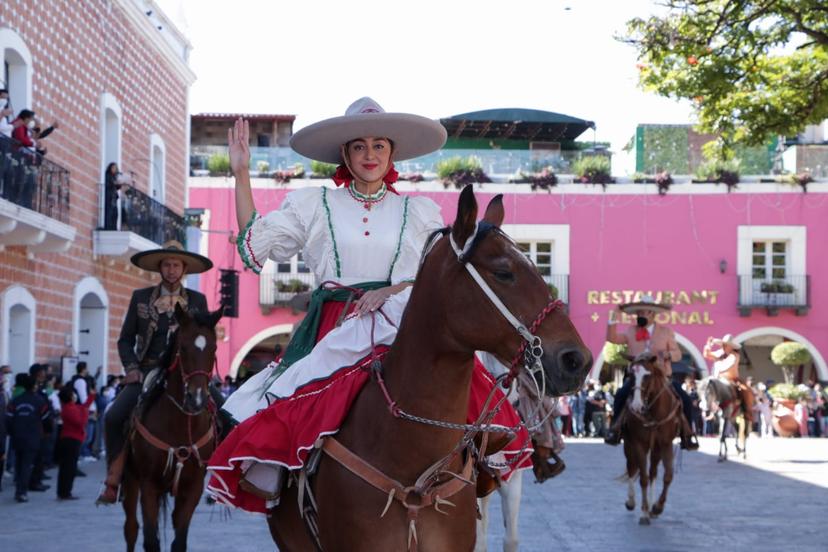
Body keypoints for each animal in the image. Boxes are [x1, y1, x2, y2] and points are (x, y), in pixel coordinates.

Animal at [122, 306, 220, 552]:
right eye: (182, 347)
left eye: (214, 348)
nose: (197, 399)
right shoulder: (149, 485)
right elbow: (150, 540)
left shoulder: (192, 488)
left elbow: (179, 541)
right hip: (131, 479)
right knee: (131, 529)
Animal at [620, 354, 680, 528]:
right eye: (630, 375)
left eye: (648, 376)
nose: (636, 406)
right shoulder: (639, 444)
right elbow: (643, 478)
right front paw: (644, 512)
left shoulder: (665, 444)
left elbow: (667, 476)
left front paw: (657, 507)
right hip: (629, 446)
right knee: (632, 468)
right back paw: (632, 502)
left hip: (656, 449)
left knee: (653, 472)